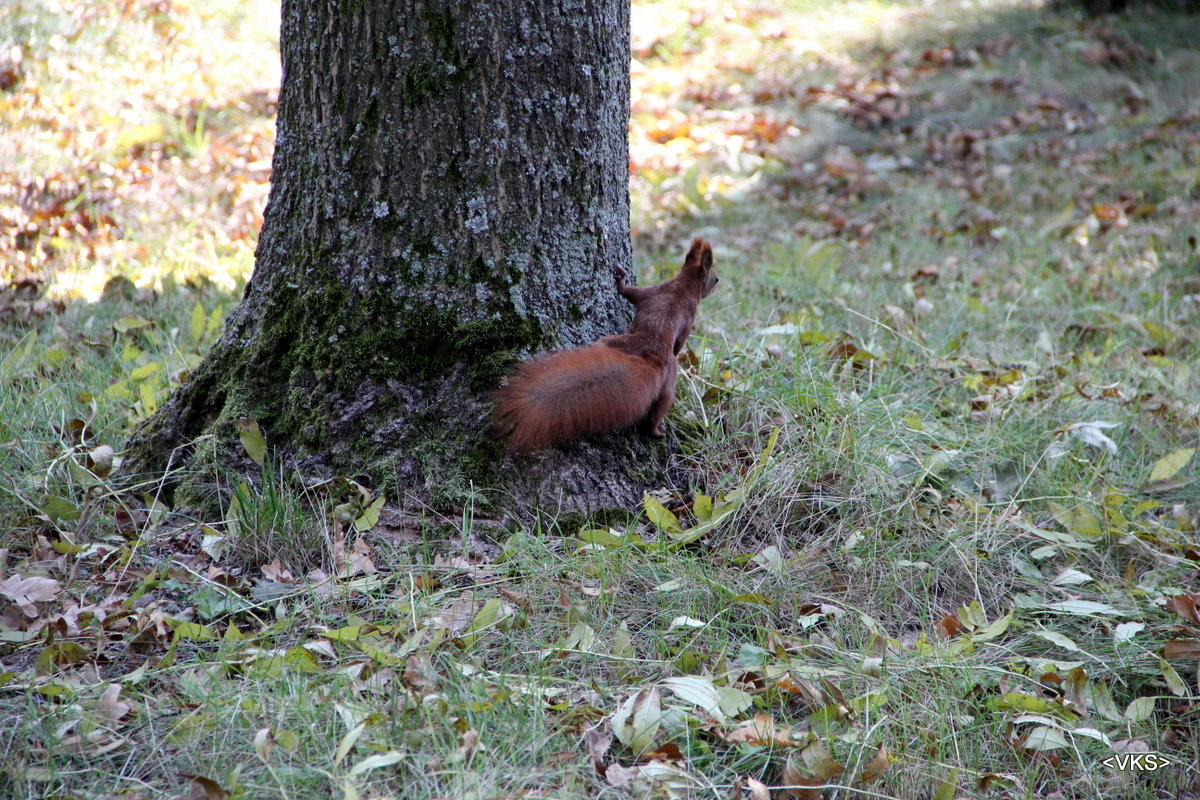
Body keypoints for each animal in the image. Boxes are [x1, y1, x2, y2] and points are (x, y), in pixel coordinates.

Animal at [492, 236, 715, 450]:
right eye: (715, 278)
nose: (718, 281)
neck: (682, 286)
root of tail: (653, 354)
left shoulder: (656, 292)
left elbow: (630, 293)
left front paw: (620, 279)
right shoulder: (680, 308)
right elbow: (677, 340)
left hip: (626, 350)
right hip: (666, 377)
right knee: (660, 408)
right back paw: (656, 430)